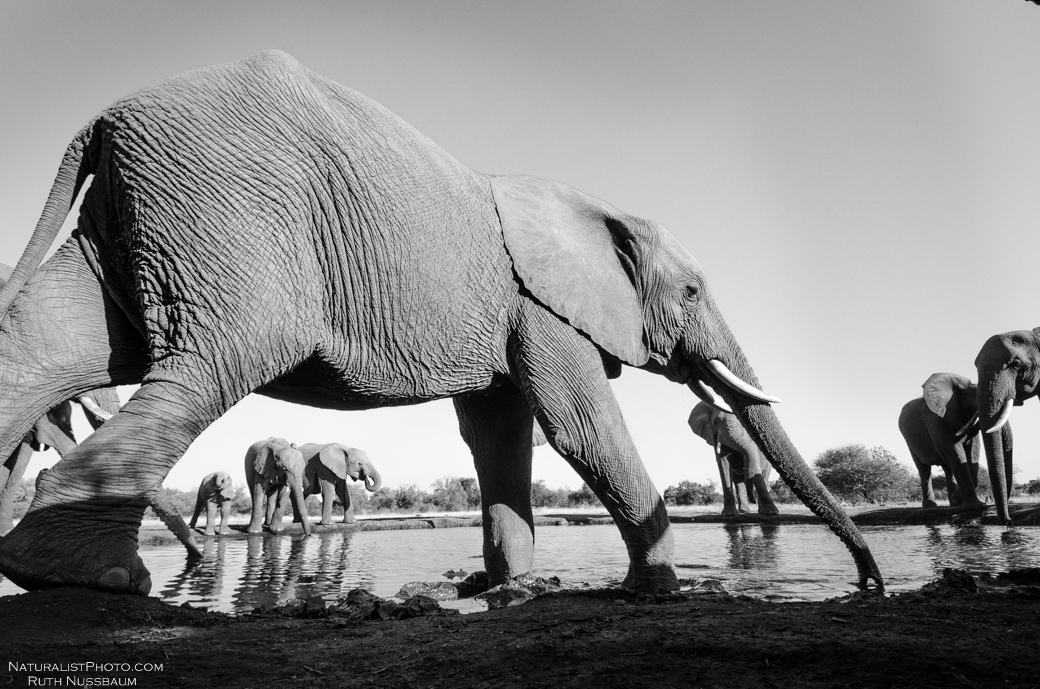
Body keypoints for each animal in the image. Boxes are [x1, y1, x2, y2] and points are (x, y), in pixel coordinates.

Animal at [0, 50, 881, 595]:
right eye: (694, 291)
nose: (869, 580)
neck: (599, 204)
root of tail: (104, 119)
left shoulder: (514, 314)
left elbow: (498, 432)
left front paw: (504, 585)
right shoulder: (541, 306)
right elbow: (579, 427)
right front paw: (656, 589)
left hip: (151, 210)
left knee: (54, 344)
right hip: (225, 207)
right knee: (214, 361)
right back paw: (92, 577)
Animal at [897, 372, 998, 510]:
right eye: (978, 402)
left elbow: (972, 453)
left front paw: (961, 501)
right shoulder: (936, 420)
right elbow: (954, 452)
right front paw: (975, 507)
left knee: (947, 468)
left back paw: (953, 503)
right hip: (910, 440)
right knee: (924, 469)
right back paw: (930, 505)